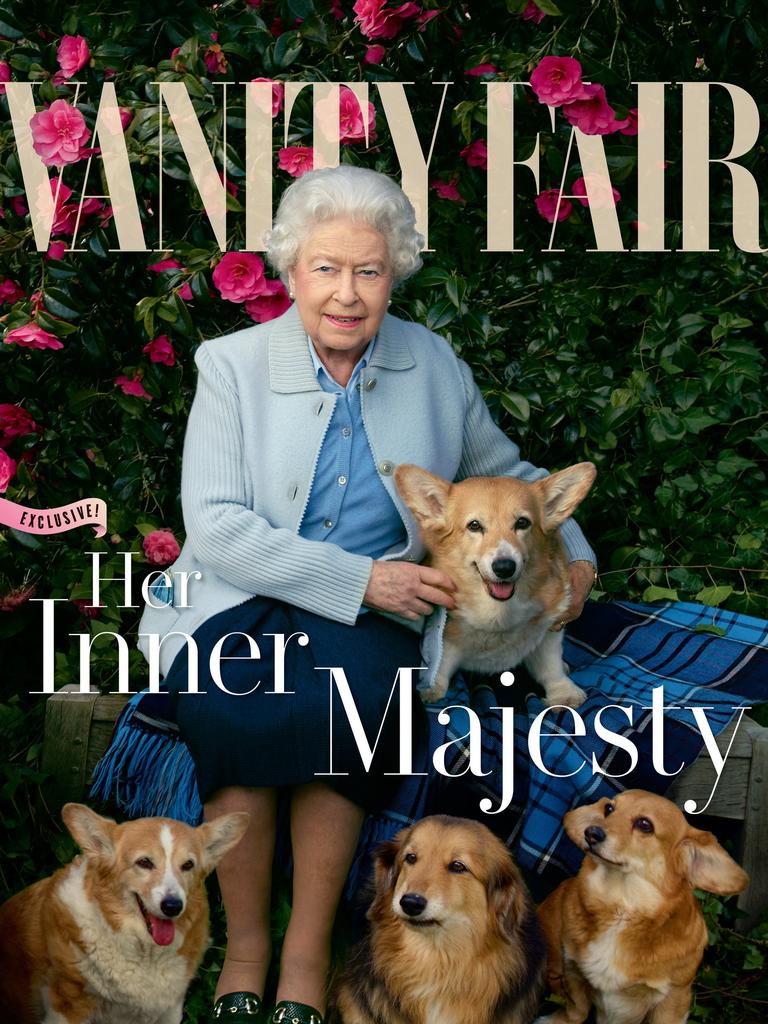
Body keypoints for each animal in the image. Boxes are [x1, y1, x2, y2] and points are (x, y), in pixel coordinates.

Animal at [0, 806, 249, 1024]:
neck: (145, 952)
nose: (173, 906)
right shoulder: (66, 1009)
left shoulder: (169, 1010)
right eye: (144, 862)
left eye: (188, 865)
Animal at [393, 462, 598, 704]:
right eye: (474, 525)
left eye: (522, 523)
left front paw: (564, 693)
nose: (504, 567)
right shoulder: (448, 637)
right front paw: (432, 688)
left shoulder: (549, 627)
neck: (498, 613)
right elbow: (441, 661)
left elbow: (550, 664)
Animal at [536, 790, 749, 1024]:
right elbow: (577, 1009)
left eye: (645, 824)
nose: (591, 832)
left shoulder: (674, 996)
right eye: (608, 809)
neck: (621, 908)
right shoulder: (573, 970)